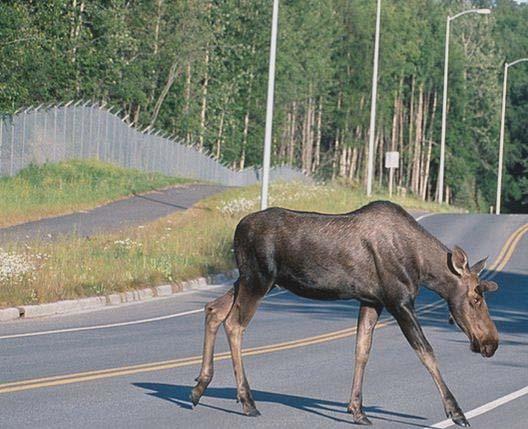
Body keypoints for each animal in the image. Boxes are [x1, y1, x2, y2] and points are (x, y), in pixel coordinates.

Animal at [191, 201, 500, 424]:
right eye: (475, 298)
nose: (491, 343)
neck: (422, 268)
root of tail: (236, 230)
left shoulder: (372, 301)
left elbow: (362, 350)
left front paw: (357, 410)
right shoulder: (398, 301)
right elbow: (426, 352)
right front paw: (457, 412)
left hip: (247, 279)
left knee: (213, 309)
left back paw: (199, 387)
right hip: (259, 279)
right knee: (234, 324)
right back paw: (247, 401)